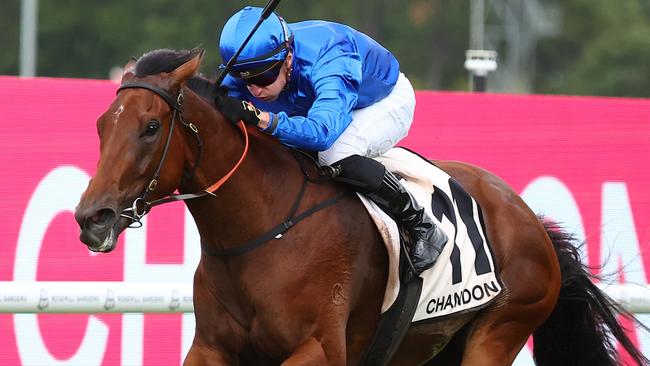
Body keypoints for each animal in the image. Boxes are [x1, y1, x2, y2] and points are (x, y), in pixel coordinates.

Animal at [73, 48, 644, 366]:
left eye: (151, 127)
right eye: (101, 125)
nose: (91, 217)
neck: (260, 230)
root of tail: (531, 219)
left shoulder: (320, 348)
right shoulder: (212, 348)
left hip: (499, 330)